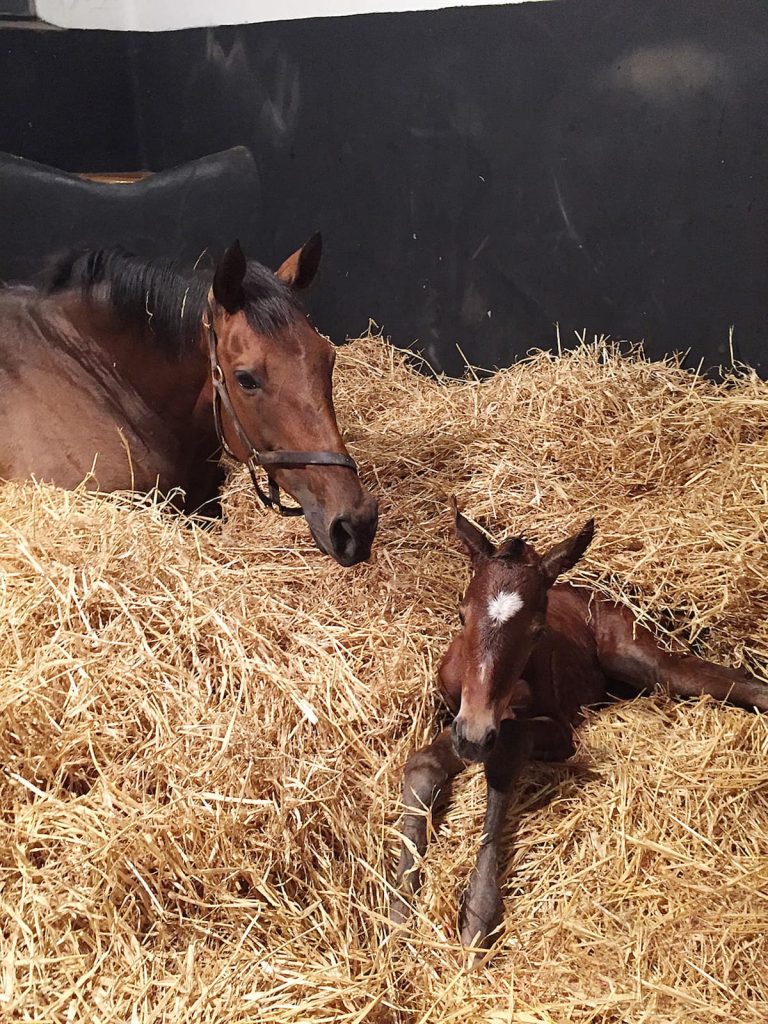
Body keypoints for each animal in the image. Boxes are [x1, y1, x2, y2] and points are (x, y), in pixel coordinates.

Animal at [392, 499, 768, 958]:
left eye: (537, 631)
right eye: (462, 616)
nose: (476, 734)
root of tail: (598, 592)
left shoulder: (552, 730)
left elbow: (508, 749)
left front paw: (478, 913)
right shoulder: (461, 721)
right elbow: (424, 763)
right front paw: (398, 911)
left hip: (636, 660)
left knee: (722, 680)